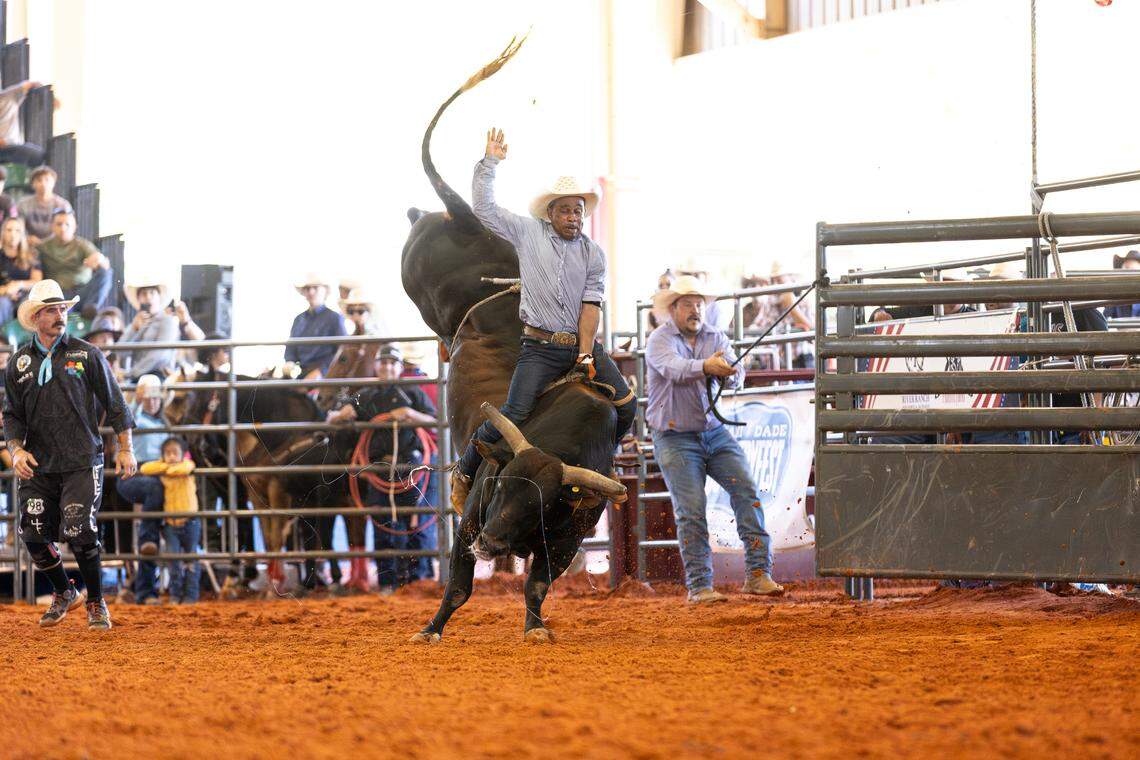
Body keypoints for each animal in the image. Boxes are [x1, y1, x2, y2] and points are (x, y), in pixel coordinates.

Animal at [402, 38, 627, 644]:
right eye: (501, 487)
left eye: (538, 502)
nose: (494, 542)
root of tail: (468, 221)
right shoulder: (470, 521)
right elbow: (458, 586)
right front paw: (430, 629)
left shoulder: (566, 541)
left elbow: (537, 585)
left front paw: (534, 628)